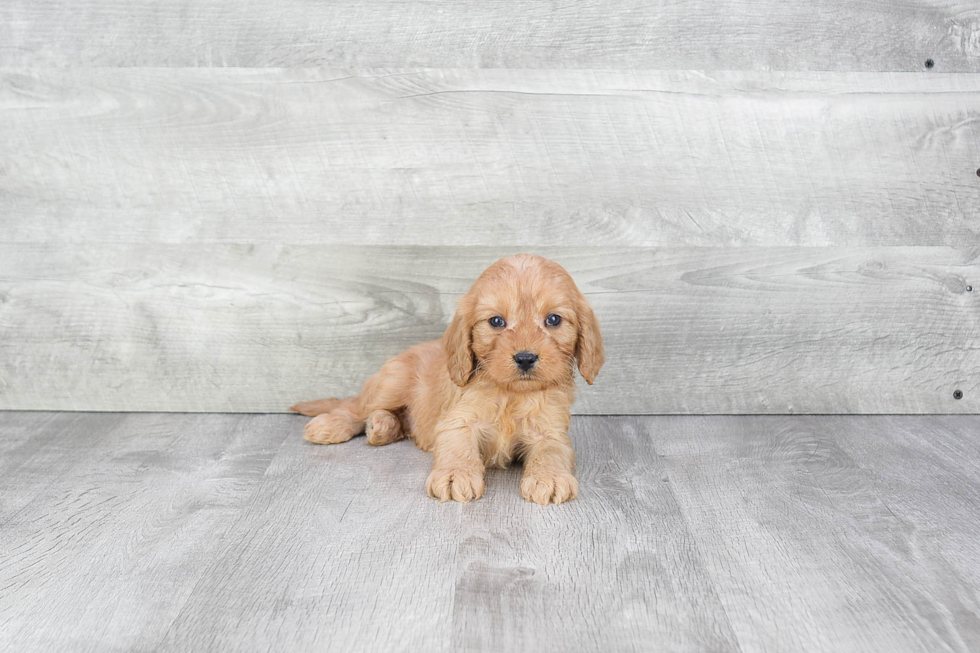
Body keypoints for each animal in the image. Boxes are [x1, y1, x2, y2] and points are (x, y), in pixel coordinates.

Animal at [290, 251, 604, 504]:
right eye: (496, 321)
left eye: (553, 320)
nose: (525, 358)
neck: (510, 394)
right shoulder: (457, 420)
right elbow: (458, 445)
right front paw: (456, 475)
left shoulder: (551, 431)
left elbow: (552, 451)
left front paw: (550, 477)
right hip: (391, 382)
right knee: (355, 407)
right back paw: (334, 425)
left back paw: (382, 427)